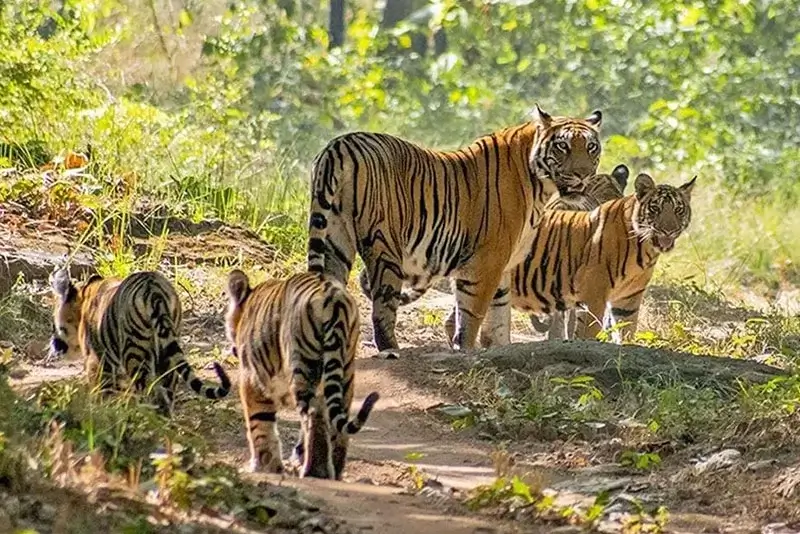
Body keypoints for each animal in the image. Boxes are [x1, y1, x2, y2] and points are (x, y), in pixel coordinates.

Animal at [49, 270, 231, 415]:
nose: (54, 344)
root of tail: (154, 290)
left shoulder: (97, 360)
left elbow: (101, 391)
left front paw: (98, 411)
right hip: (167, 351)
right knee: (166, 391)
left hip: (134, 352)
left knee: (146, 389)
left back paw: (145, 416)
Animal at [224, 269, 380, 480]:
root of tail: (334, 298)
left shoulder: (252, 379)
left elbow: (259, 423)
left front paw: (263, 466)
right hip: (345, 371)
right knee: (336, 422)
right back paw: (333, 472)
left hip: (302, 366)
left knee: (313, 415)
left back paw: (314, 471)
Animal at [307, 105, 603, 352]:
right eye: (562, 146)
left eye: (591, 147)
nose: (582, 175)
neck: (541, 187)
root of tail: (340, 145)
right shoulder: (486, 262)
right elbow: (471, 315)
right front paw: (467, 350)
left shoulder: (504, 266)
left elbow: (499, 317)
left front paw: (498, 349)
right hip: (385, 246)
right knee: (383, 307)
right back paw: (390, 350)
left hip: (335, 240)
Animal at [483, 172, 696, 343]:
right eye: (655, 209)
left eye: (678, 210)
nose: (668, 230)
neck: (646, 248)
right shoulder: (593, 295)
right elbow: (589, 331)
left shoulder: (628, 299)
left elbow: (625, 332)